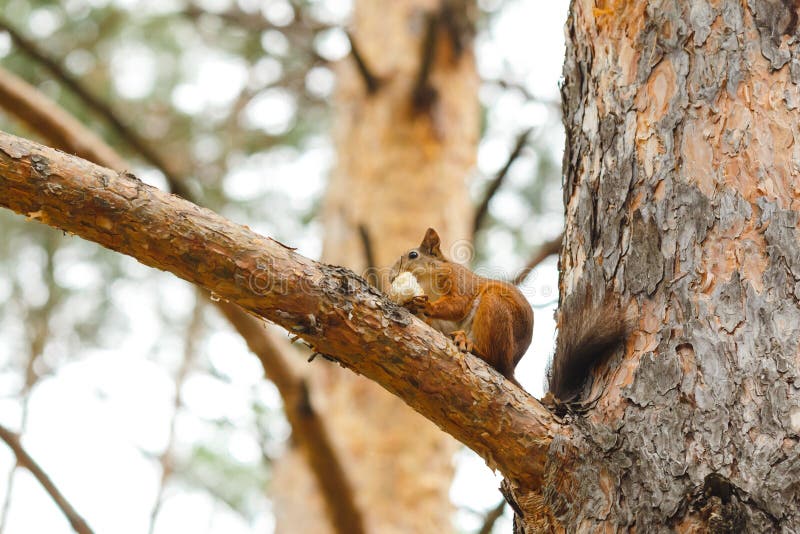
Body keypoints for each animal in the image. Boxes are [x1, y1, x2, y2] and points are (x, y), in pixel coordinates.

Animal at [389, 228, 533, 386]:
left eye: (413, 255)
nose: (391, 277)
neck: (428, 284)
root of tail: (511, 368)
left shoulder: (458, 278)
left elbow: (459, 303)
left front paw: (428, 306)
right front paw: (410, 306)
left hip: (495, 307)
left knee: (496, 361)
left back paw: (470, 345)